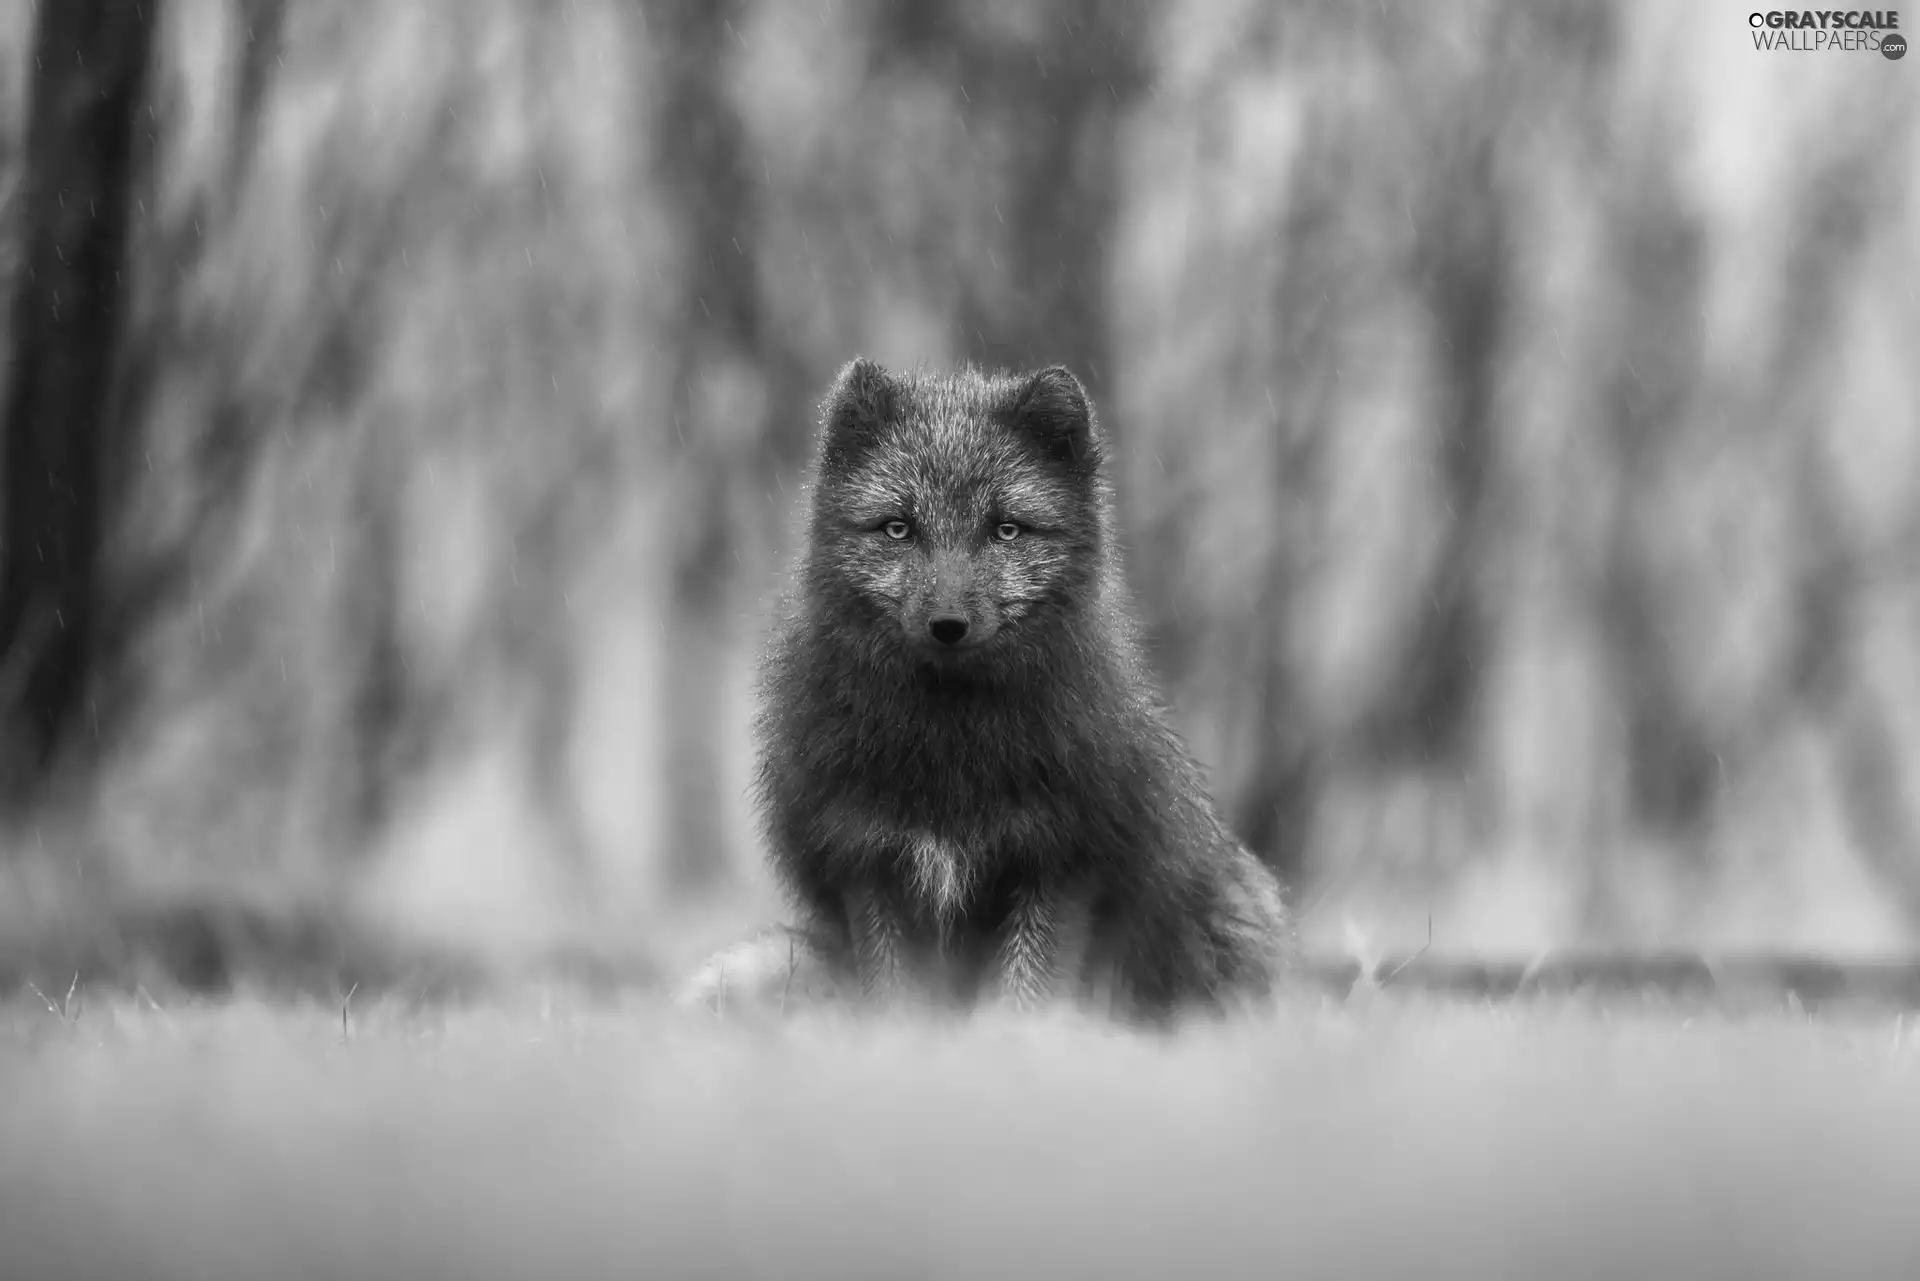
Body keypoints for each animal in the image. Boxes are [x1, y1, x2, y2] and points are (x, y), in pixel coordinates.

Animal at [706, 359, 1290, 1021]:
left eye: (1006, 530)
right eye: (898, 528)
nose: (948, 625)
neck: (948, 753)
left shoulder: (1060, 865)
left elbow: (1023, 997)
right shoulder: (866, 861)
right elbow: (897, 1001)